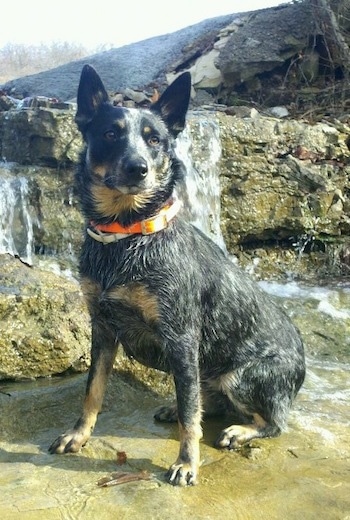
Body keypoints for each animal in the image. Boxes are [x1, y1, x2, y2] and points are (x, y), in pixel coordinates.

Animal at [47, 66, 304, 488]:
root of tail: (303, 368)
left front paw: (187, 463)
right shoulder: (102, 327)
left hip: (241, 376)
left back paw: (241, 431)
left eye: (155, 139)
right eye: (110, 134)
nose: (138, 168)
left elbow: (189, 419)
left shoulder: (181, 338)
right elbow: (93, 391)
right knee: (204, 401)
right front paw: (78, 435)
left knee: (271, 422)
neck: (126, 237)